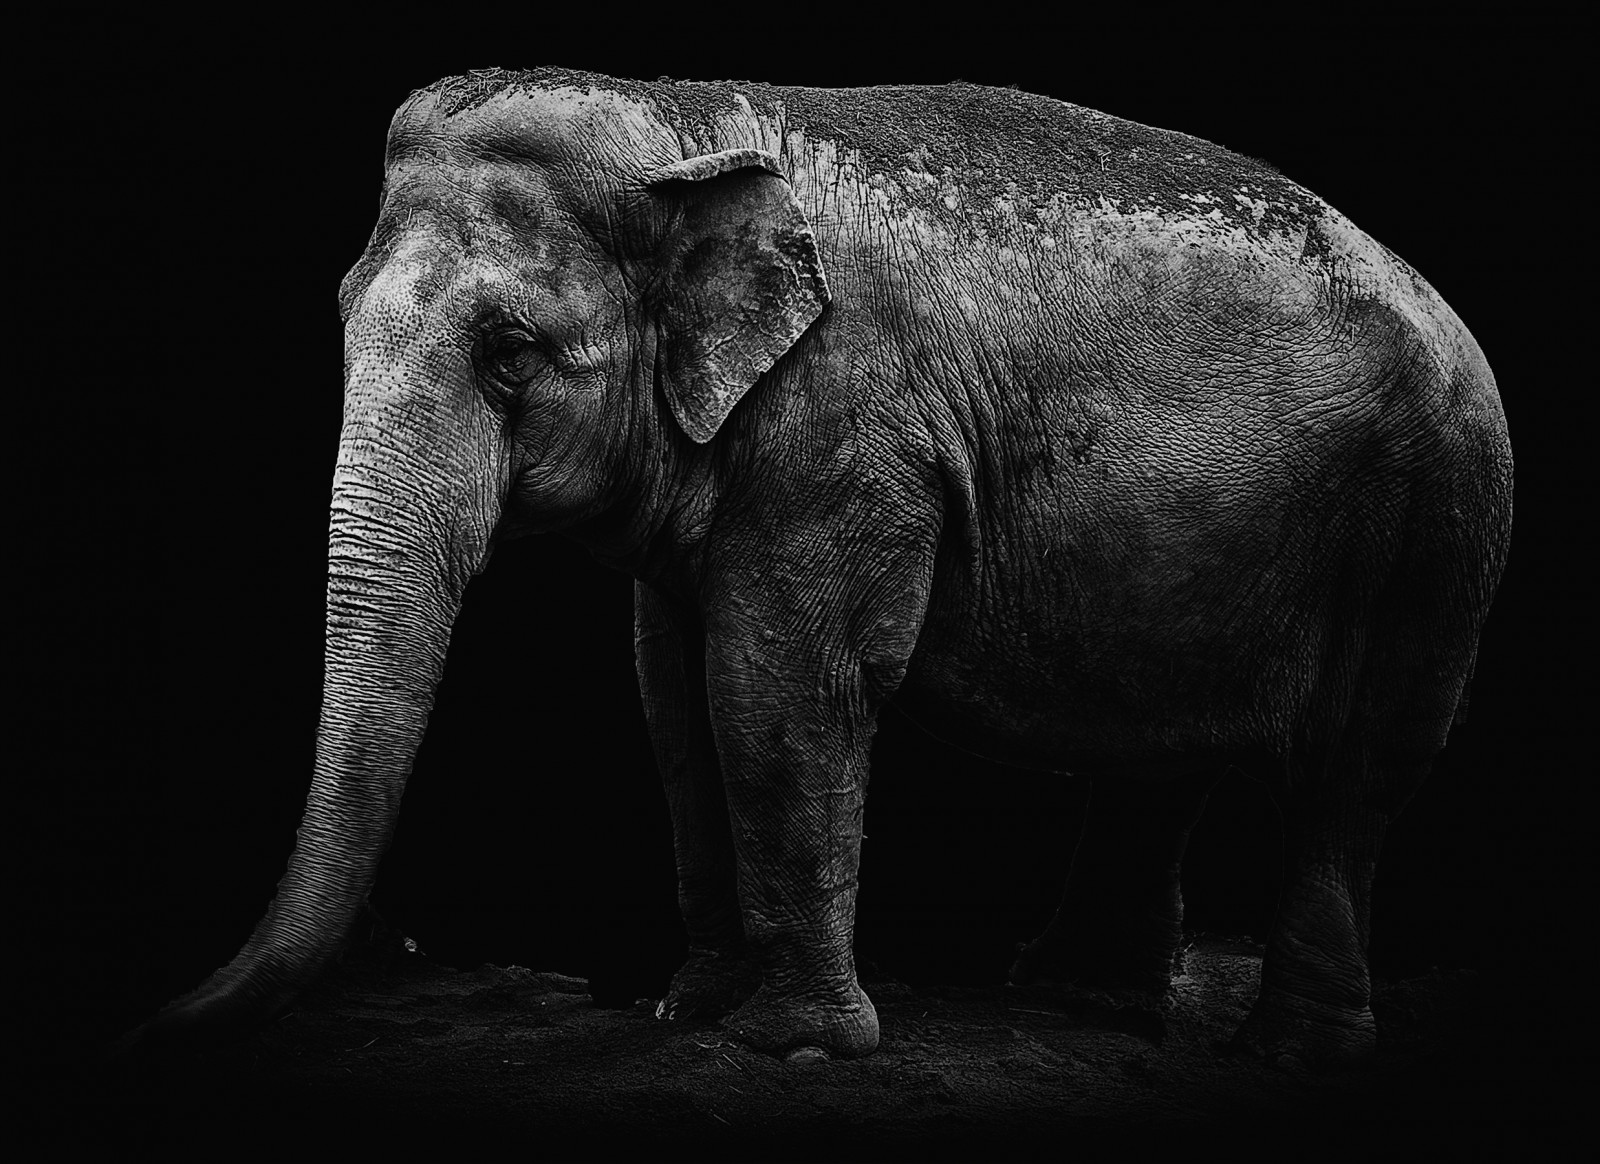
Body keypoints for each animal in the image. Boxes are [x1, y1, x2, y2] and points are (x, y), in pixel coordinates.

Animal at [133, 67, 1512, 1068]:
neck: (682, 122)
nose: (401, 938)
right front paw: (688, 1011)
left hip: (1440, 524)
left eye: (510, 354)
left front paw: (791, 1046)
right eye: (338, 314)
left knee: (1358, 772)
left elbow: (776, 686)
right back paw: (1077, 1000)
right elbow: (672, 696)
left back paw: (1297, 1052)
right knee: (1164, 757)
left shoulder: (845, 430)